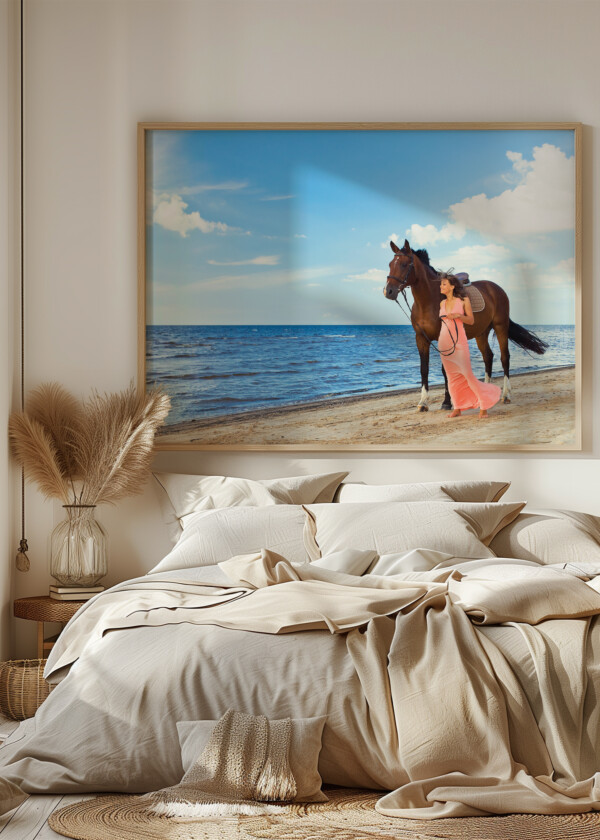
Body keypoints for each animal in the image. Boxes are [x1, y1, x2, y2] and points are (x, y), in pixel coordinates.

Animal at [384, 238, 548, 412]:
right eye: (390, 264)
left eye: (404, 264)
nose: (388, 291)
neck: (428, 302)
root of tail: (497, 289)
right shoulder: (421, 338)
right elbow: (424, 369)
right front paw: (423, 402)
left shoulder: (445, 339)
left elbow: (445, 370)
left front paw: (447, 402)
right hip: (481, 333)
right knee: (488, 356)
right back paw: (486, 394)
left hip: (500, 327)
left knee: (505, 358)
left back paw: (506, 395)